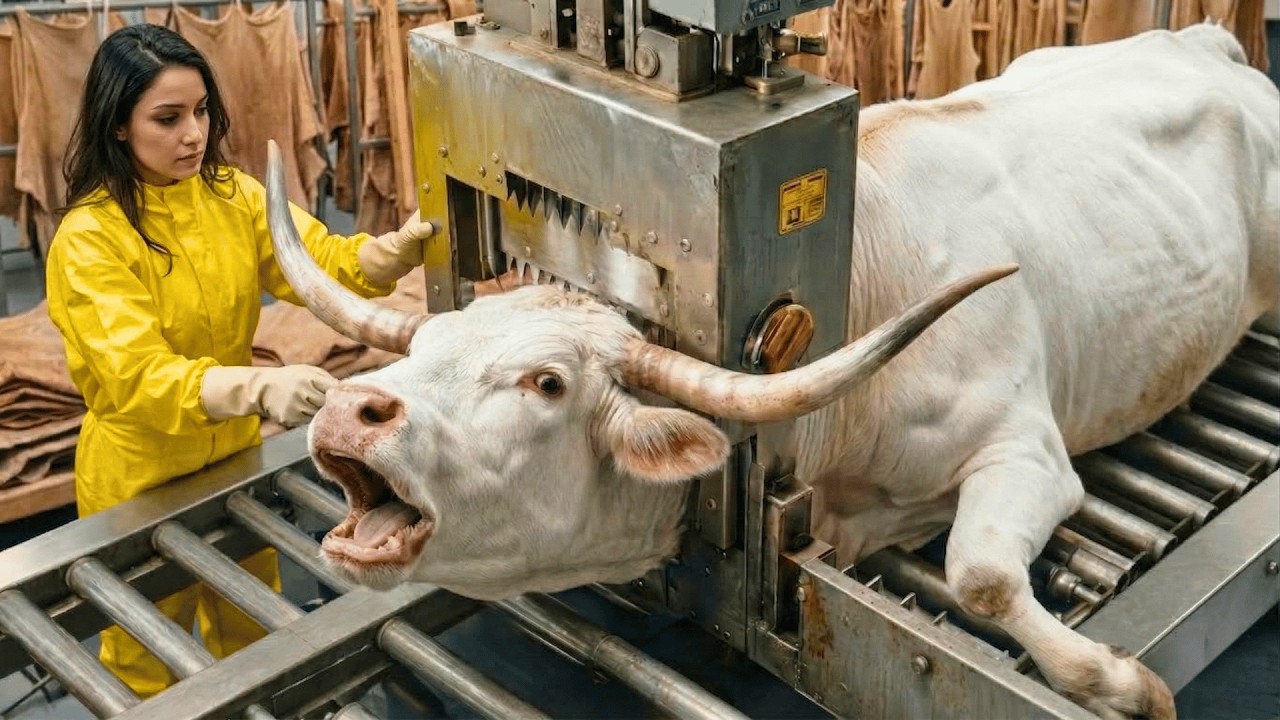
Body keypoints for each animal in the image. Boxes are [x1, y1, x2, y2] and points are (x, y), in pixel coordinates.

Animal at [263, 22, 1278, 720]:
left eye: (546, 384)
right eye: (426, 347)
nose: (350, 411)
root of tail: (1208, 38)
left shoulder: (1027, 447)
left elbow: (982, 577)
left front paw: (1123, 685)